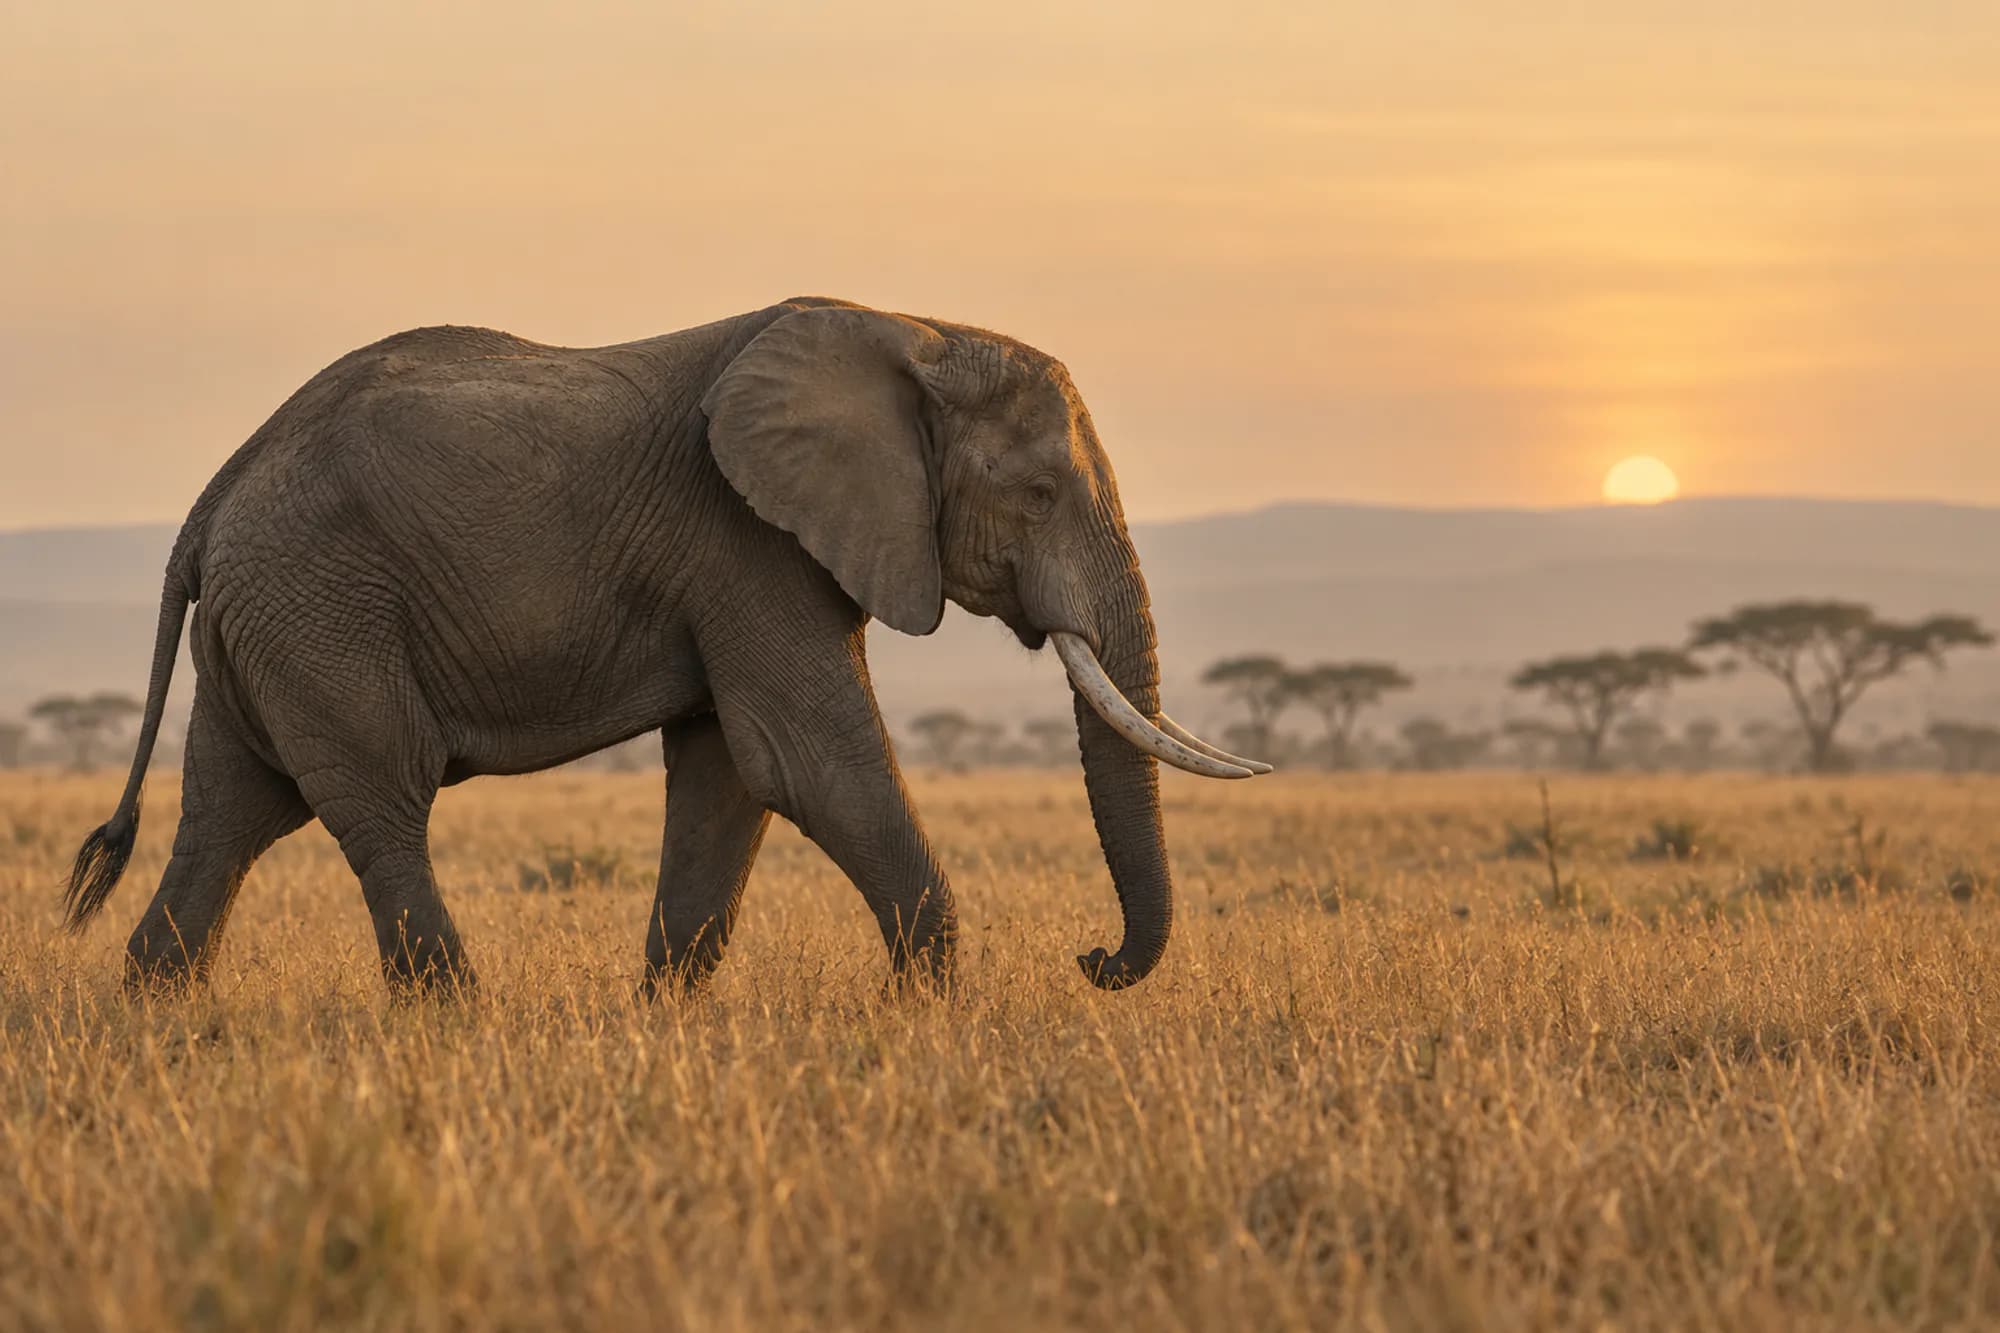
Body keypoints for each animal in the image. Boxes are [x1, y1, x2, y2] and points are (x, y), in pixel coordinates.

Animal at [60, 296, 1271, 997]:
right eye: (1038, 493)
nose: (1092, 959)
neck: (915, 329)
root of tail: (214, 495)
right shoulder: (745, 540)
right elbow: (806, 762)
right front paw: (928, 1019)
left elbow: (730, 776)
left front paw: (666, 1026)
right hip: (324, 610)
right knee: (382, 801)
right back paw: (457, 1026)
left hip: (271, 624)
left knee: (231, 812)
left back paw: (161, 1026)